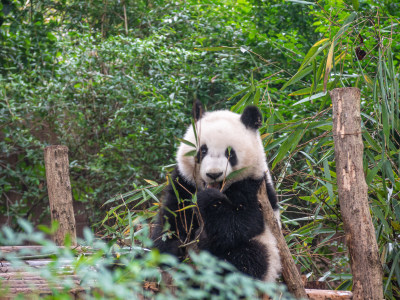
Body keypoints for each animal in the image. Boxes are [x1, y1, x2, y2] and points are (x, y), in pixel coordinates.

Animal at [152, 101, 282, 282]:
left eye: (230, 153)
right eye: (203, 150)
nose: (214, 174)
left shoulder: (253, 188)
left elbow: (241, 223)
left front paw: (210, 200)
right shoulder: (184, 184)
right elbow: (172, 220)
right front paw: (169, 252)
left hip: (267, 249)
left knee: (246, 259)